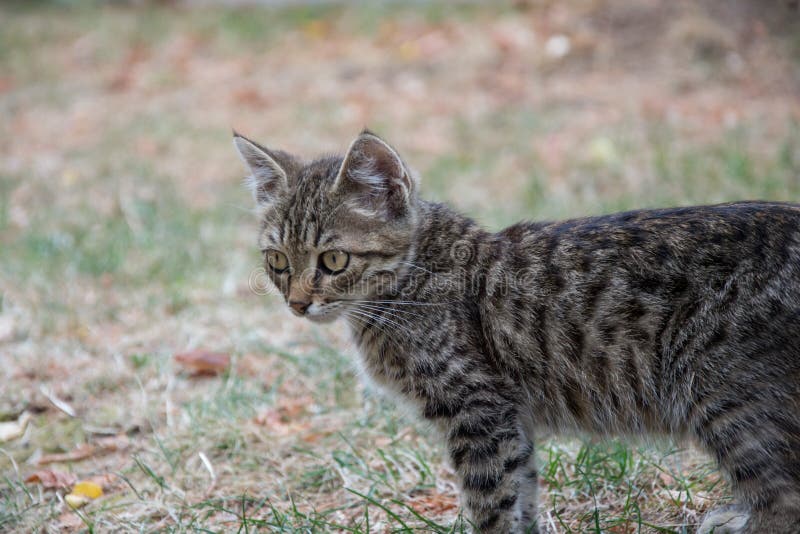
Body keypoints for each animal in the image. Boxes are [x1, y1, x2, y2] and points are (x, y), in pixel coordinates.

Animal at [233, 130, 800, 534]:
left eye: (333, 260)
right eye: (277, 261)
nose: (298, 304)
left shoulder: (478, 408)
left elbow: (489, 501)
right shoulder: (510, 417)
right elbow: (521, 490)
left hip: (724, 395)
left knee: (783, 500)